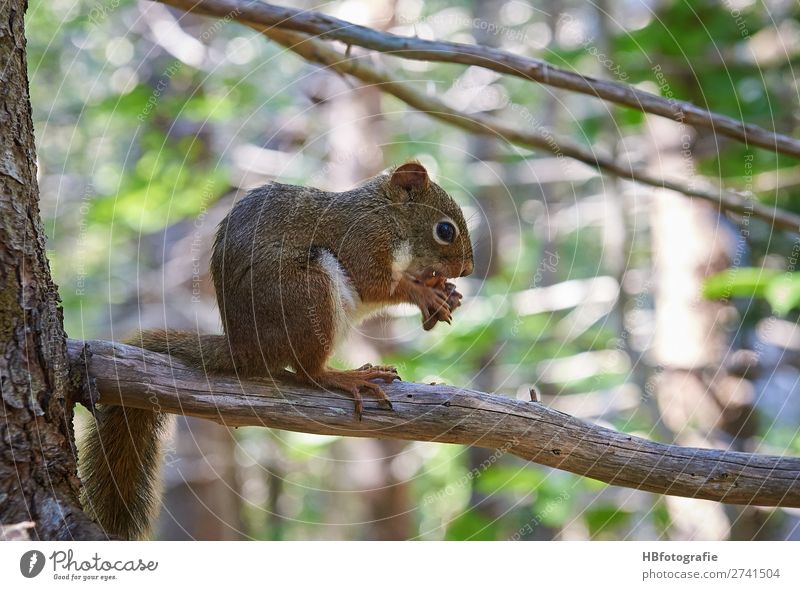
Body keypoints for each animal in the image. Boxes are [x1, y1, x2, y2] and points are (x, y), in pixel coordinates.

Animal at [78, 162, 472, 540]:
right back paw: (347, 377)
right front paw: (422, 291)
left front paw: (445, 292)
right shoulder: (363, 239)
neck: (386, 215)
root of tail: (243, 348)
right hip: (307, 292)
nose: (467, 269)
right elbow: (374, 284)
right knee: (309, 372)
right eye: (445, 230)